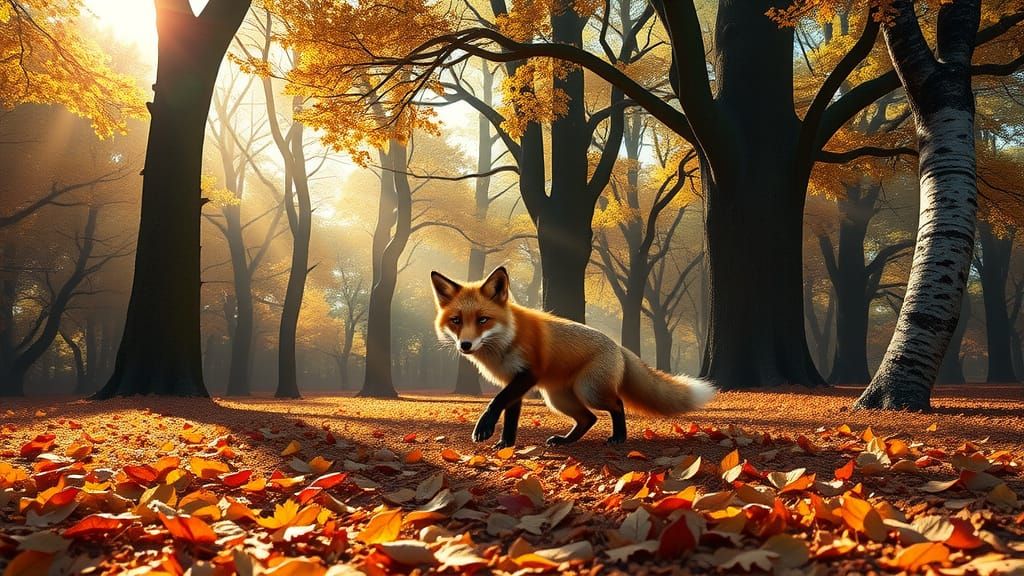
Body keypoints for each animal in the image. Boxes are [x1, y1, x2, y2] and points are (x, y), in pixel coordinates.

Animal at [431, 266, 716, 447]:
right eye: (456, 321)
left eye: (483, 320)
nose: (465, 345)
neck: (505, 340)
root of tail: (619, 346)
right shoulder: (513, 383)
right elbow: (509, 416)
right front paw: (505, 444)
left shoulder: (527, 374)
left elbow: (495, 403)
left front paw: (484, 429)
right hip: (558, 398)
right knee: (588, 418)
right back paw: (566, 441)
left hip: (588, 390)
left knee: (616, 405)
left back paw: (619, 437)